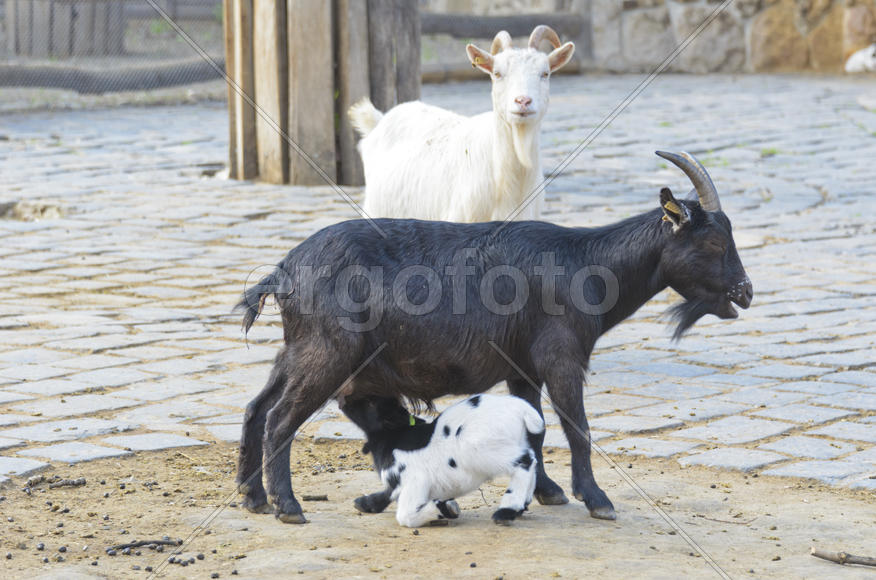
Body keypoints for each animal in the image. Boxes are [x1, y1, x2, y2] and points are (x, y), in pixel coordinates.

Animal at [344, 394, 544, 527]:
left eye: (371, 402)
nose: (344, 399)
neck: (393, 437)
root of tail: (521, 408)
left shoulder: (414, 480)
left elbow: (406, 515)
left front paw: (443, 508)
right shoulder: (398, 484)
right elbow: (388, 492)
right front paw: (365, 503)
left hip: (479, 448)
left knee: (524, 461)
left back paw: (505, 512)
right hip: (515, 441)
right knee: (533, 459)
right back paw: (521, 506)